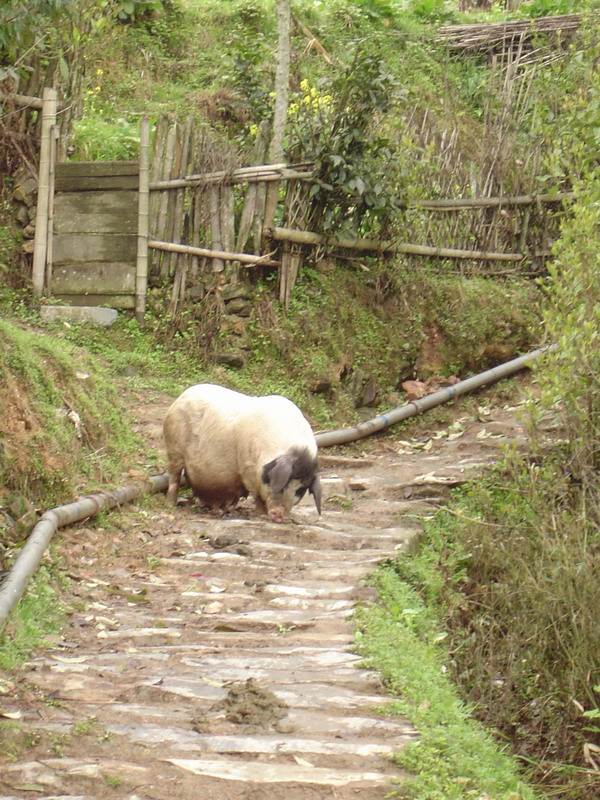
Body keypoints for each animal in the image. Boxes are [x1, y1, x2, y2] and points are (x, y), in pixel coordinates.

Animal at [164, 382, 322, 524]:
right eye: (283, 483)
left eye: (300, 490)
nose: (279, 513)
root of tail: (182, 396)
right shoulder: (247, 466)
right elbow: (257, 495)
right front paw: (260, 515)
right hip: (174, 446)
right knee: (174, 477)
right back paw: (171, 504)